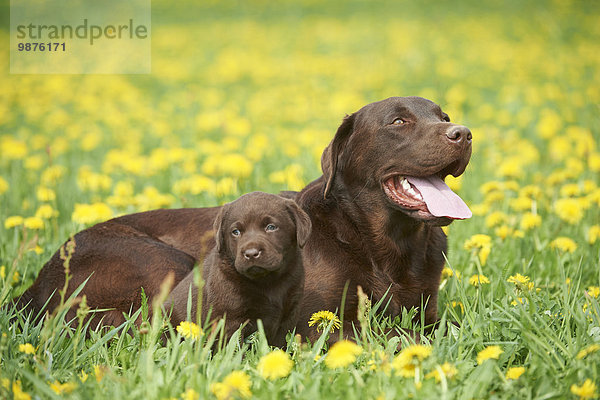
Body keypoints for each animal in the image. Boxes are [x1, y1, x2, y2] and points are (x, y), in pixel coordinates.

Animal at [166, 192, 312, 348]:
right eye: (236, 232)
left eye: (271, 227)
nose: (251, 253)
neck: (267, 281)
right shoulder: (230, 318)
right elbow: (233, 347)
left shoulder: (289, 315)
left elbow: (279, 345)